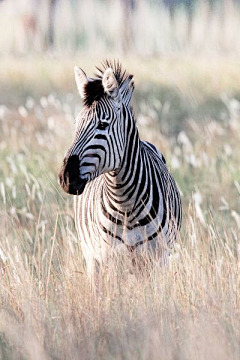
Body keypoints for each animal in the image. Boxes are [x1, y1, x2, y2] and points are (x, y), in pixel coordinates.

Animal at [58, 60, 182, 278]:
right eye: (76, 123)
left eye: (102, 125)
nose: (66, 177)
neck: (125, 203)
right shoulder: (109, 259)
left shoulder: (158, 259)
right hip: (92, 257)